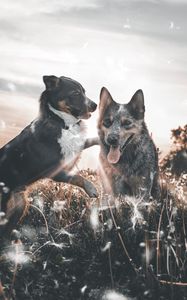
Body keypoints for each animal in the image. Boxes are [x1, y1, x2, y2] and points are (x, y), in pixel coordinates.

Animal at [0, 75, 98, 227]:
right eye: (76, 93)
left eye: (84, 92)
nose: (95, 105)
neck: (61, 123)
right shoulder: (54, 170)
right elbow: (78, 177)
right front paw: (91, 188)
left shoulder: (74, 149)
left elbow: (92, 140)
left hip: (19, 207)